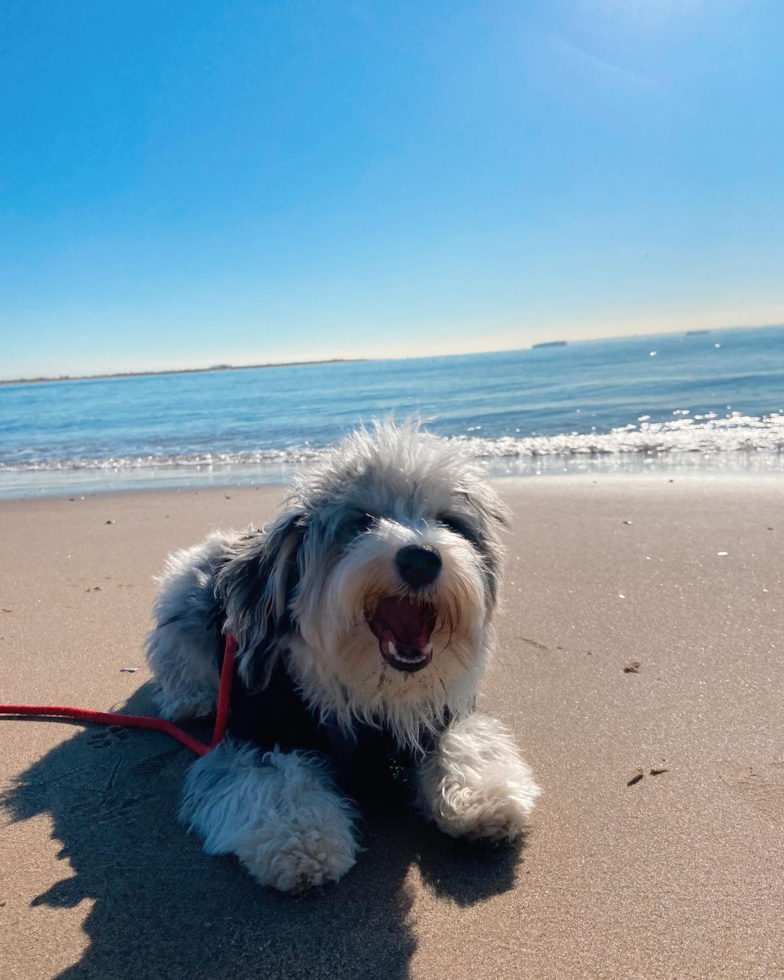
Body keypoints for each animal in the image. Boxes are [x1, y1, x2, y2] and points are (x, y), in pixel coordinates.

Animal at [145, 418, 540, 892]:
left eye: (450, 522)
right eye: (361, 521)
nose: (422, 559)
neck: (371, 689)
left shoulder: (439, 714)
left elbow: (467, 740)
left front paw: (484, 798)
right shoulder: (257, 733)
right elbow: (278, 781)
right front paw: (302, 841)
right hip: (184, 599)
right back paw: (192, 700)